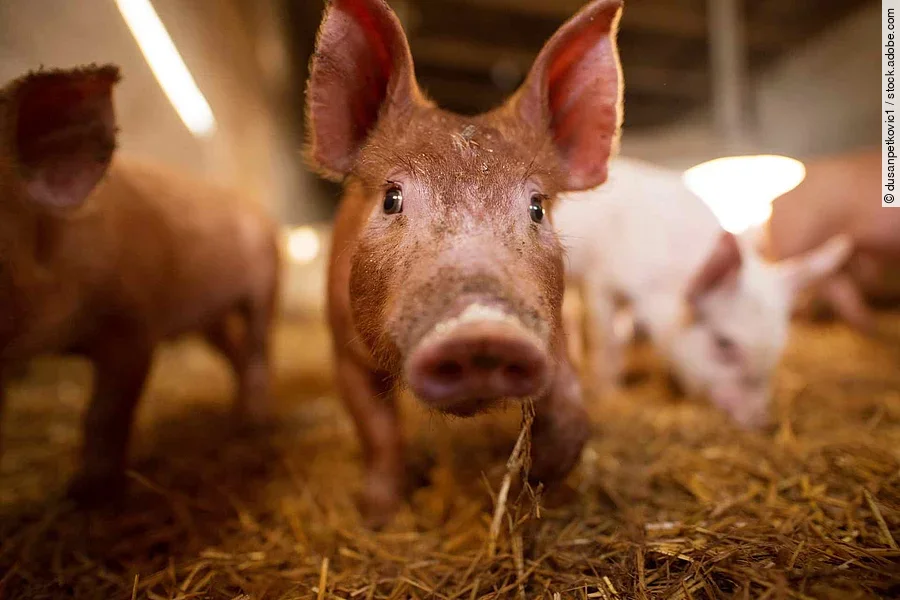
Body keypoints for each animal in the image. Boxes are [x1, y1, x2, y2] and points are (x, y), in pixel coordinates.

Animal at [0, 66, 280, 504]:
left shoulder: (133, 326)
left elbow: (104, 413)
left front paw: (88, 493)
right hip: (210, 319)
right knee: (233, 352)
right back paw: (234, 418)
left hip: (267, 283)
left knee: (258, 349)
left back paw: (256, 425)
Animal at [305, 0, 624, 524]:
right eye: (391, 199)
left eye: (536, 207)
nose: (482, 330)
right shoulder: (342, 347)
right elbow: (378, 432)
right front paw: (379, 515)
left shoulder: (552, 330)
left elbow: (571, 417)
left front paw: (525, 482)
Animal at [555, 157, 852, 428]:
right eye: (724, 344)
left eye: (778, 347)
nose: (762, 423)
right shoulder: (601, 280)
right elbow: (608, 341)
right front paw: (609, 394)